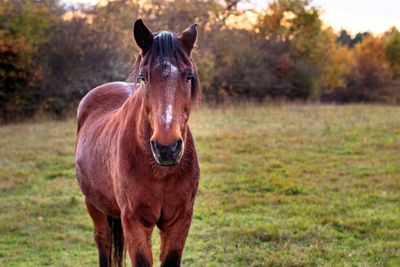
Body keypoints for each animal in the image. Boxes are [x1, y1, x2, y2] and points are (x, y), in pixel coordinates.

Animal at [74, 19, 202, 267]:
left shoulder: (180, 220)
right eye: (143, 77)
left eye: (188, 76)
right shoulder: (134, 222)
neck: (161, 173)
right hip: (93, 204)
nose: (167, 148)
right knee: (102, 241)